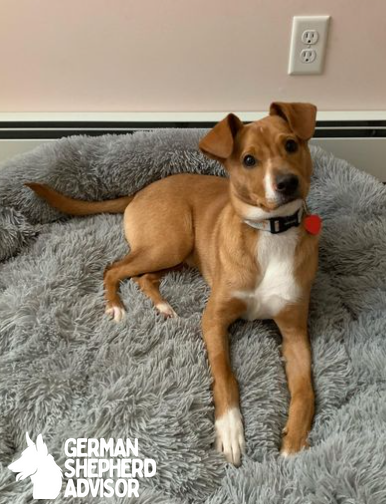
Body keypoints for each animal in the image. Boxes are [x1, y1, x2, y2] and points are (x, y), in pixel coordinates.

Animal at [25, 100, 318, 466]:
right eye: (249, 160)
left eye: (291, 144)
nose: (287, 183)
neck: (271, 233)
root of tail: (140, 191)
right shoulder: (214, 320)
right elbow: (224, 374)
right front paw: (230, 429)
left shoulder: (294, 331)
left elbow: (305, 389)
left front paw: (295, 442)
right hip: (171, 241)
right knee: (113, 269)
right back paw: (116, 306)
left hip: (178, 252)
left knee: (142, 277)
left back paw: (162, 305)